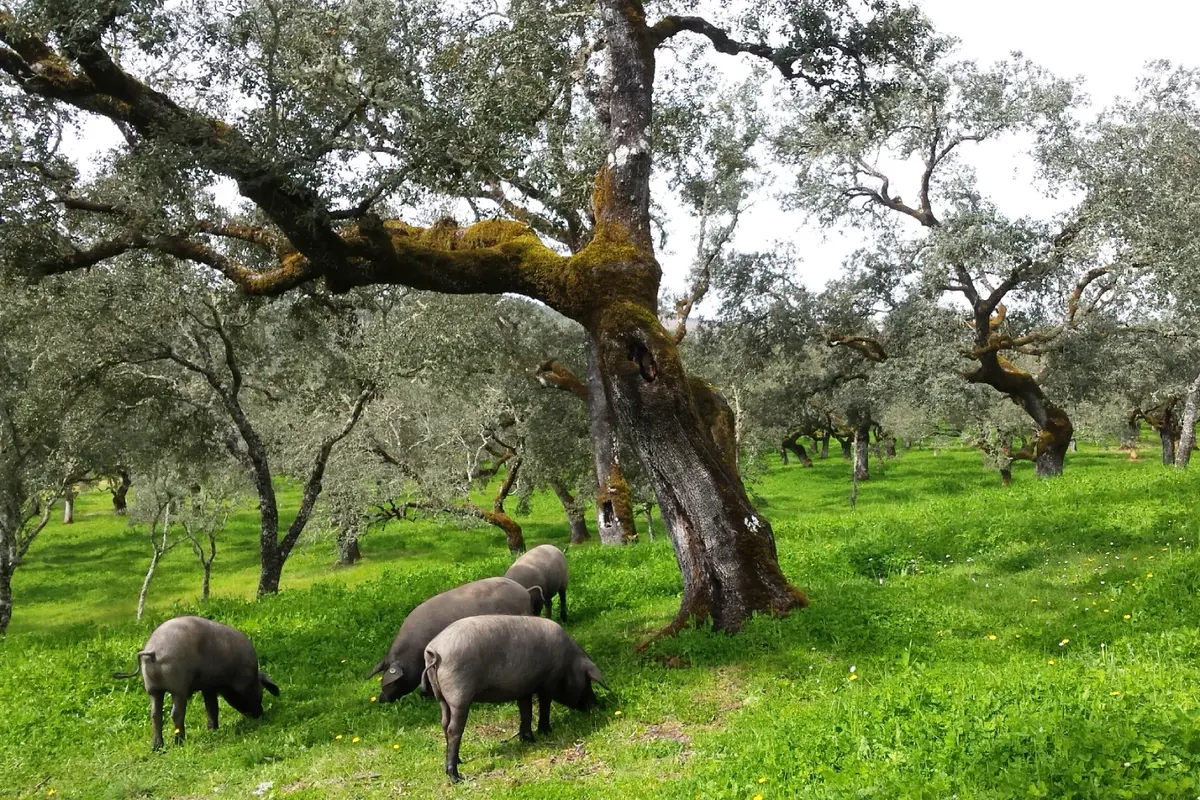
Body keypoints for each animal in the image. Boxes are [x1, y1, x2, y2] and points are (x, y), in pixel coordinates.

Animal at [113, 616, 279, 750]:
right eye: (261, 689)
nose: (260, 714)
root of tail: (153, 651)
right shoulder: (214, 685)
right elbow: (213, 707)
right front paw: (213, 729)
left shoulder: (207, 687)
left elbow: (210, 707)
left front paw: (211, 729)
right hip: (178, 687)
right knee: (176, 713)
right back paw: (179, 742)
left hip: (152, 689)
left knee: (155, 715)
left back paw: (157, 747)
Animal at [421, 614, 608, 783]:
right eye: (588, 681)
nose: (596, 705)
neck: (568, 662)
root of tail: (434, 650)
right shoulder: (548, 682)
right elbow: (544, 705)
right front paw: (546, 731)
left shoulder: (523, 688)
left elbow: (526, 711)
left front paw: (528, 739)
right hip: (459, 695)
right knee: (453, 729)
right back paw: (456, 777)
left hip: (442, 698)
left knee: (444, 724)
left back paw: (460, 760)